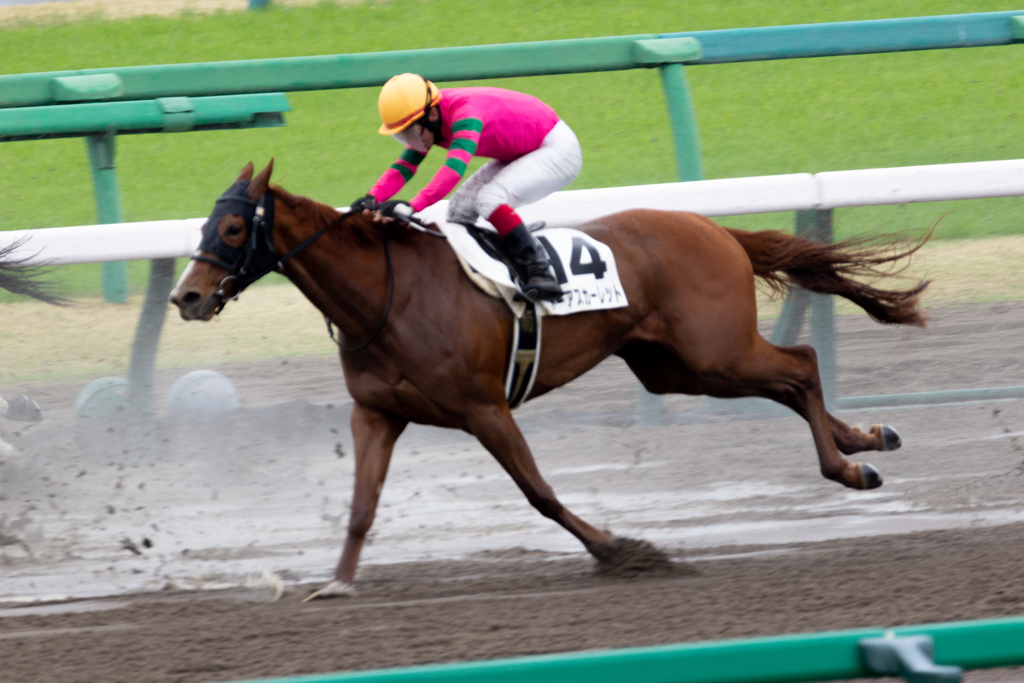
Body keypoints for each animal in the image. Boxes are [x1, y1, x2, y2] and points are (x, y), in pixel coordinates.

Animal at [169, 161, 929, 598]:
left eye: (233, 227)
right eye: (204, 222)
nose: (186, 296)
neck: (389, 293)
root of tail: (713, 228)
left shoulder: (485, 409)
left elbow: (538, 492)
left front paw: (621, 550)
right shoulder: (377, 413)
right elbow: (361, 504)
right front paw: (336, 583)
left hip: (716, 350)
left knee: (800, 364)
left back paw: (850, 463)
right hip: (678, 368)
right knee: (788, 380)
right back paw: (865, 442)